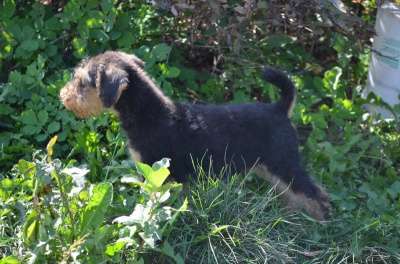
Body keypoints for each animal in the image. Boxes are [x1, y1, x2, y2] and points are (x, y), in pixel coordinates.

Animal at [58, 50, 328, 220]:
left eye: (82, 82)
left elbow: (153, 201)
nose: (64, 96)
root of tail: (279, 109)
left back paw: (318, 226)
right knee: (292, 193)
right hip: (267, 166)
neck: (149, 113)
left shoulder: (157, 172)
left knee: (316, 195)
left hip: (284, 163)